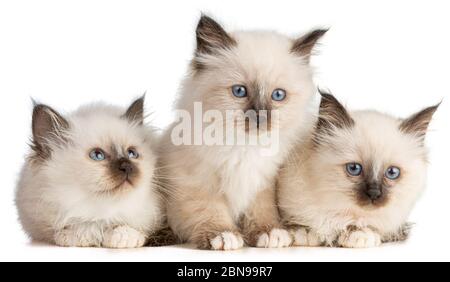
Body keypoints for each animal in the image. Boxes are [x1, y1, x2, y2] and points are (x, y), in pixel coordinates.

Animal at [15, 97, 163, 249]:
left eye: (132, 153)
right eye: (97, 155)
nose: (127, 166)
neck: (101, 212)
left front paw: (122, 237)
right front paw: (76, 236)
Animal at [160, 14, 326, 249]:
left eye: (278, 95)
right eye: (239, 91)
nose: (260, 116)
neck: (244, 146)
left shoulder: (262, 184)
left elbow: (261, 211)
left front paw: (270, 233)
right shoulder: (197, 182)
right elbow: (209, 211)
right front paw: (223, 235)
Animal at [278, 90, 440, 247]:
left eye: (392, 172)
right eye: (354, 168)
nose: (374, 193)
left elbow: (366, 224)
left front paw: (360, 235)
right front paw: (305, 232)